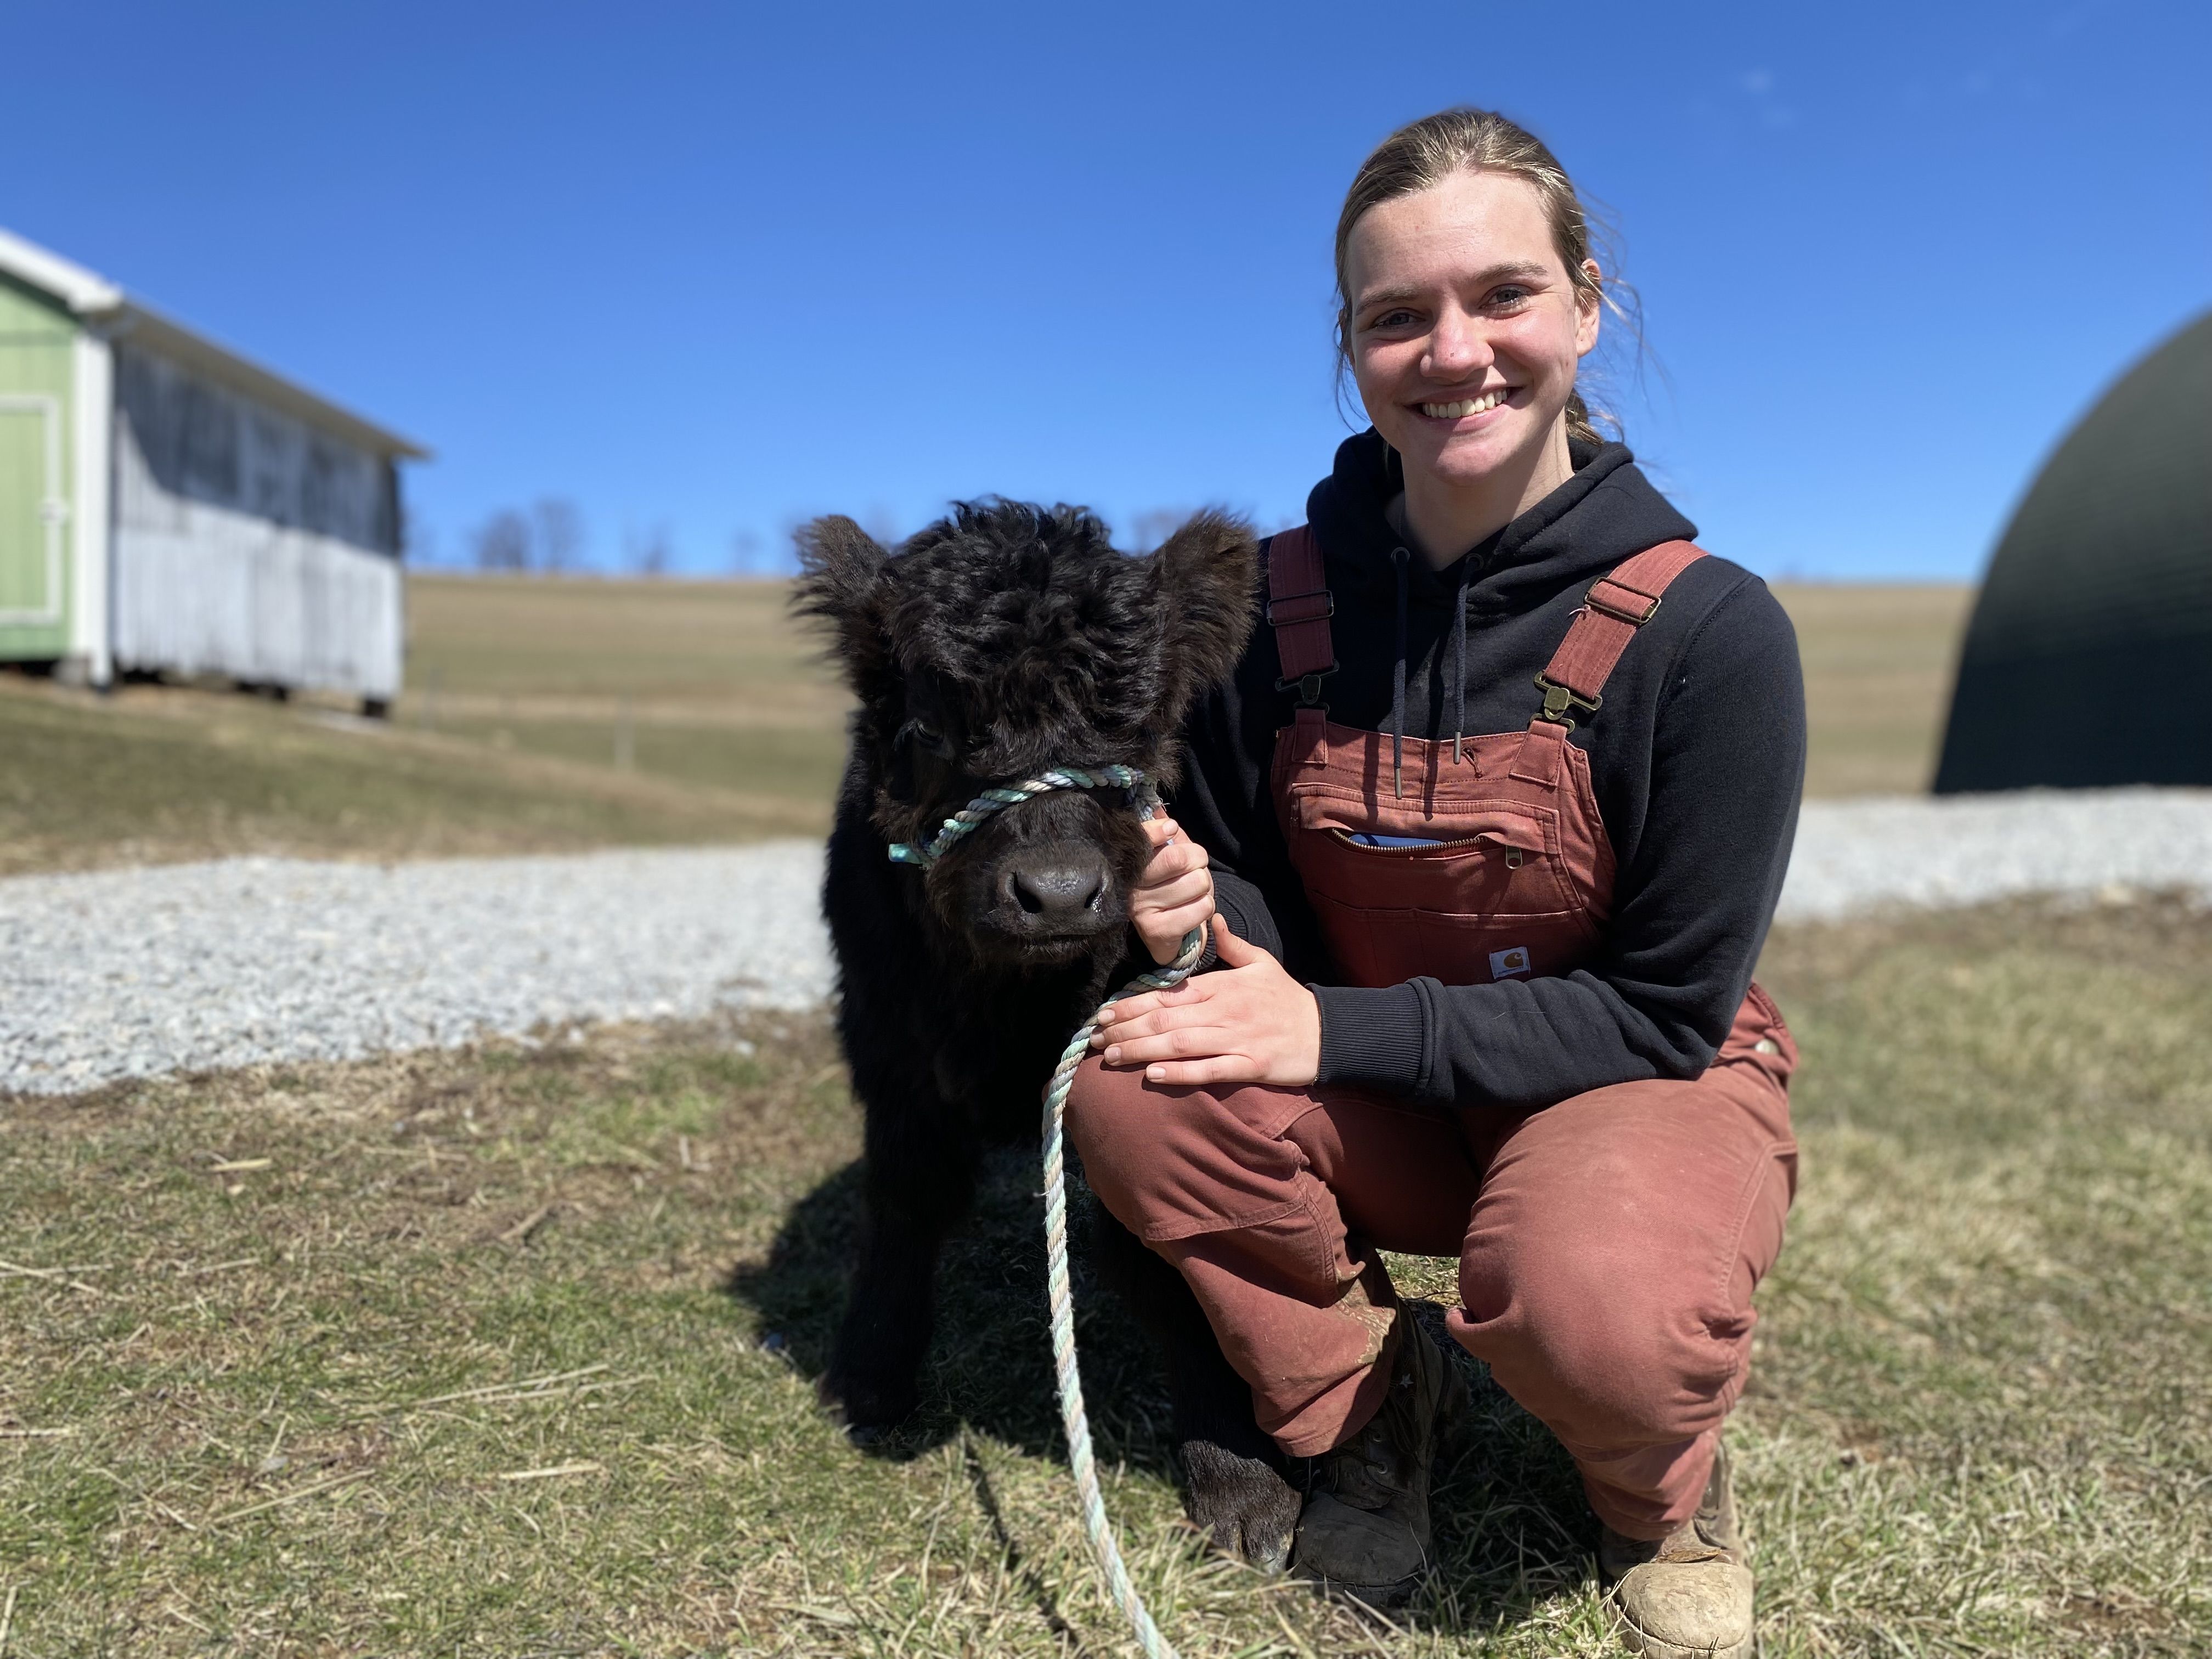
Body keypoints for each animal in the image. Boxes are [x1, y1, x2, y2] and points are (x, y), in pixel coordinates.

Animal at [793, 498, 1303, 1569]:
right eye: (930, 726)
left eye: (1135, 726)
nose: (1060, 892)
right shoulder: (890, 1051)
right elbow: (905, 1205)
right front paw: (871, 1375)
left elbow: (1164, 1257)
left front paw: (1241, 1480)